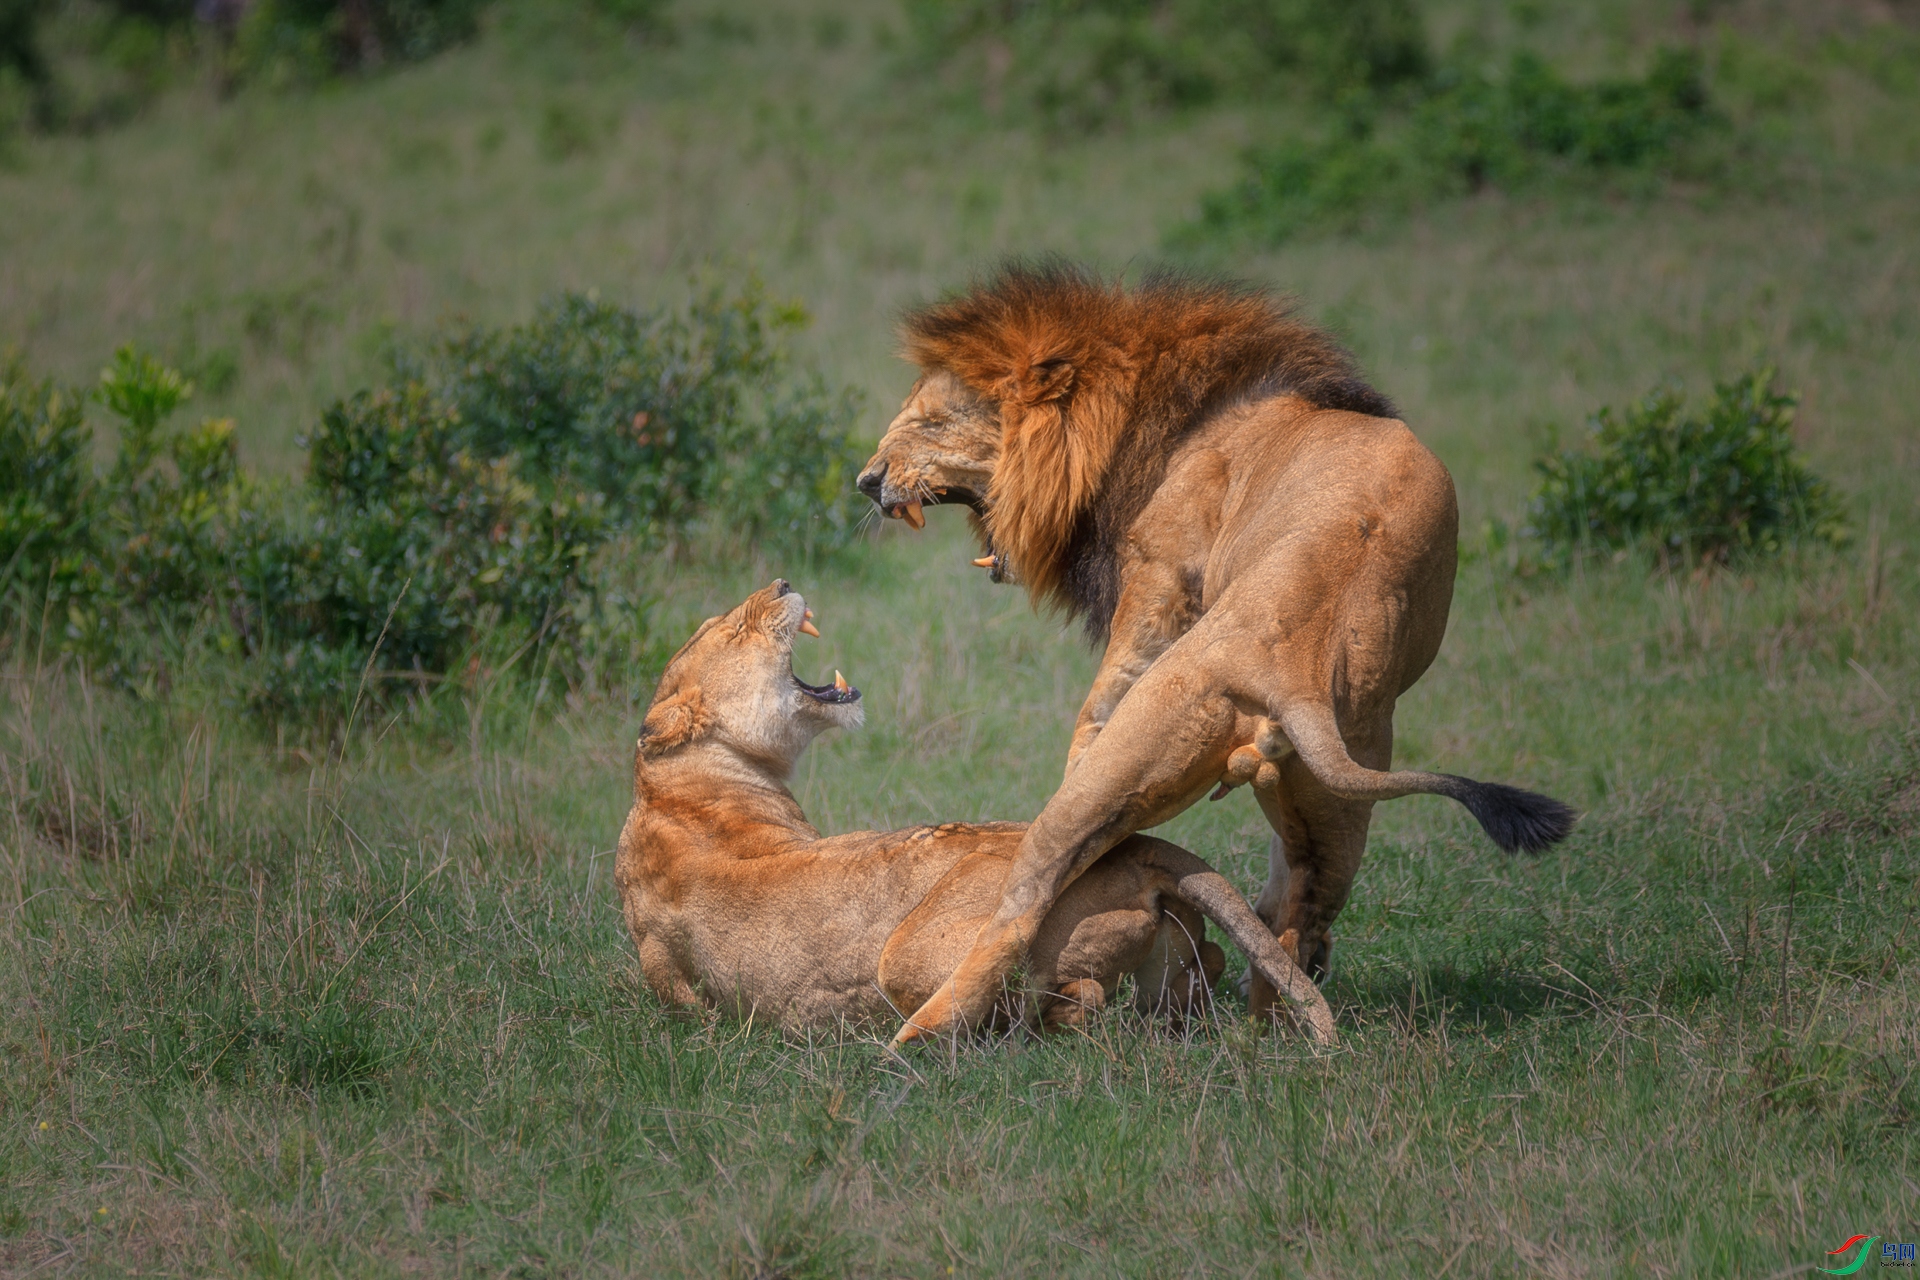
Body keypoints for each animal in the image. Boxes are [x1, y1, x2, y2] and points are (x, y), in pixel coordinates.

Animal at [612, 579, 1335, 1041]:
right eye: (735, 628)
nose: (785, 579)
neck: (668, 785)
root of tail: (1139, 846)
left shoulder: (664, 970)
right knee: (1187, 972)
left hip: (905, 960)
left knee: (1065, 999)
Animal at [855, 262, 1577, 1044]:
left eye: (930, 421)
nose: (866, 480)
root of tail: (1292, 672)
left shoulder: (1160, 570)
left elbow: (1106, 691)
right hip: (1340, 784)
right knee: (1297, 911)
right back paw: (1279, 1032)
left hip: (1138, 750)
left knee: (1025, 899)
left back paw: (917, 1036)